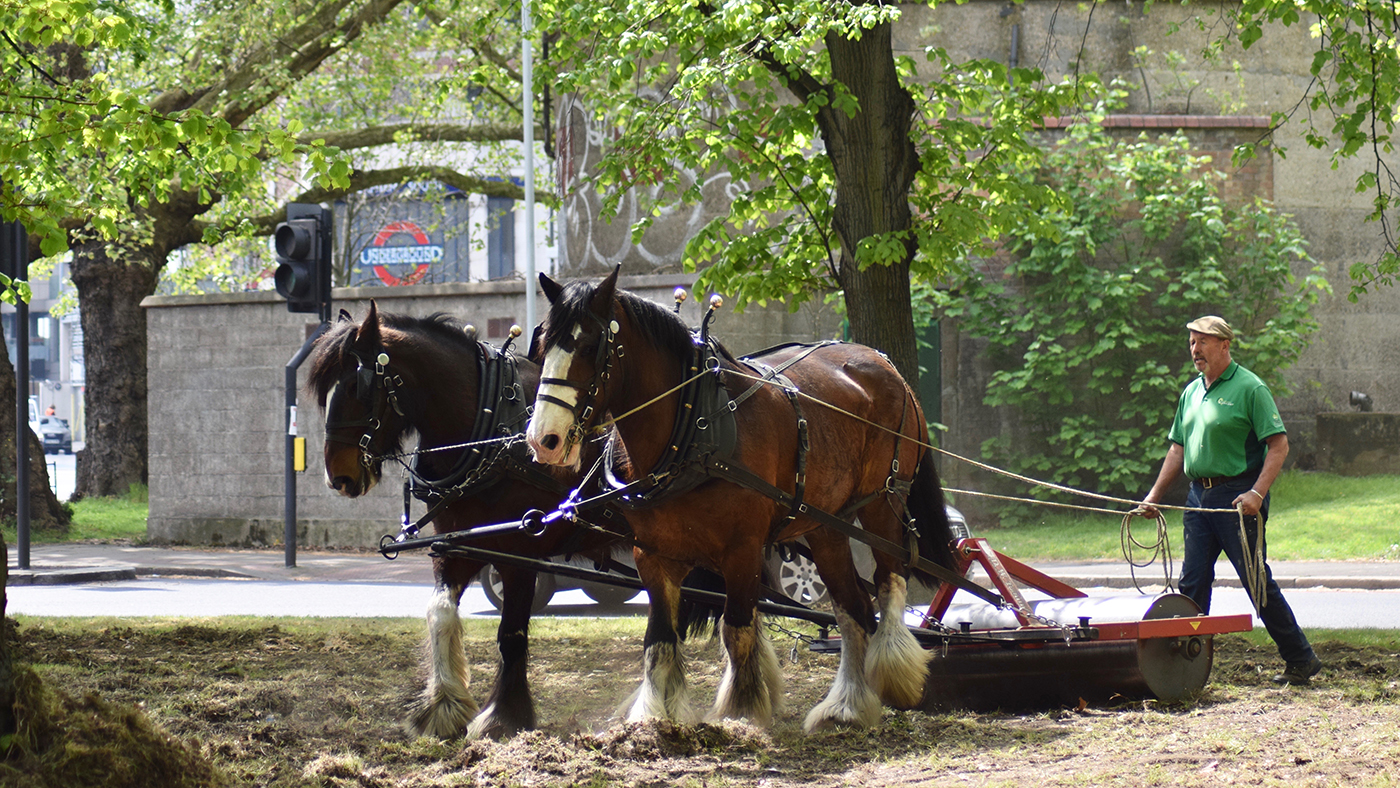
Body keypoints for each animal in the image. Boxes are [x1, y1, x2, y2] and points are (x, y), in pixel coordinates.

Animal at [309, 302, 637, 740]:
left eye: (355, 387)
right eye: (322, 392)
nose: (338, 477)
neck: (493, 432)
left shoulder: (520, 553)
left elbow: (511, 633)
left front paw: (503, 716)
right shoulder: (458, 545)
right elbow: (440, 613)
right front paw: (443, 706)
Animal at [524, 266, 959, 732]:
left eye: (590, 346)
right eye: (543, 347)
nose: (544, 439)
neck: (695, 426)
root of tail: (886, 364)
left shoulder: (743, 548)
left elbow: (737, 629)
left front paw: (741, 711)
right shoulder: (653, 555)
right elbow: (659, 638)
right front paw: (656, 717)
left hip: (884, 502)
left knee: (889, 580)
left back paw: (893, 673)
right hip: (826, 523)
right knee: (852, 607)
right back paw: (847, 705)